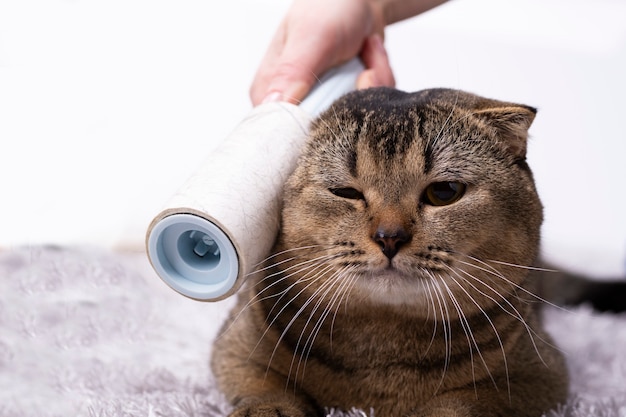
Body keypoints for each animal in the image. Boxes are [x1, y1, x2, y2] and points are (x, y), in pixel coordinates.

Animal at [212, 86, 568, 414]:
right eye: (345, 192)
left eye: (444, 191)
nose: (389, 238)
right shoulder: (235, 350)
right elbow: (267, 387)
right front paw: (268, 409)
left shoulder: (541, 375)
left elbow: (461, 401)